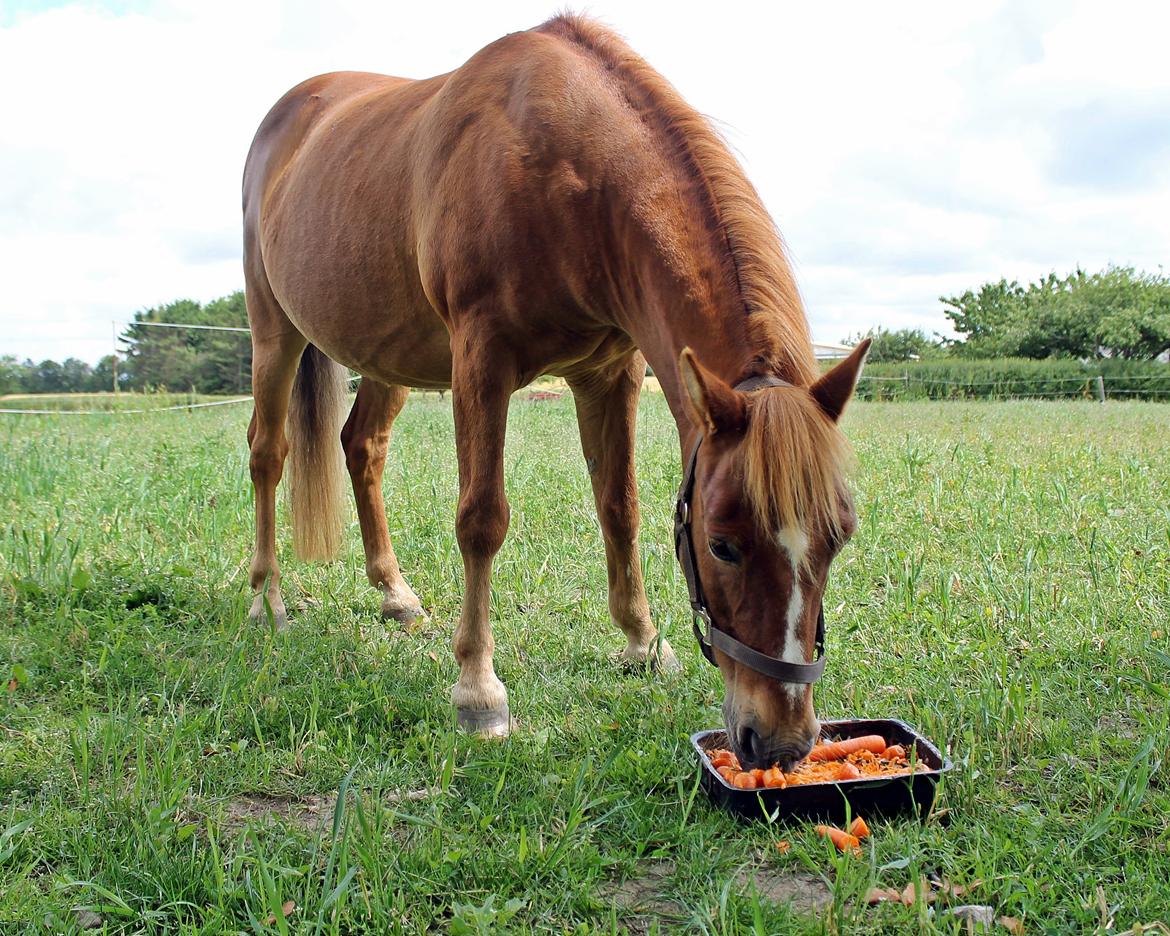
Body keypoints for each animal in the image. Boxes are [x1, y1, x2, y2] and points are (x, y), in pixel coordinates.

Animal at [242, 14, 870, 772]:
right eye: (723, 545)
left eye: (840, 537)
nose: (781, 741)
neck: (563, 167)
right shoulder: (482, 359)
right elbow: (482, 519)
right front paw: (478, 692)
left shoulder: (610, 373)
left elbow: (619, 508)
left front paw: (643, 644)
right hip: (273, 332)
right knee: (268, 455)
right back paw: (267, 601)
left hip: (389, 357)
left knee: (362, 448)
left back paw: (395, 596)